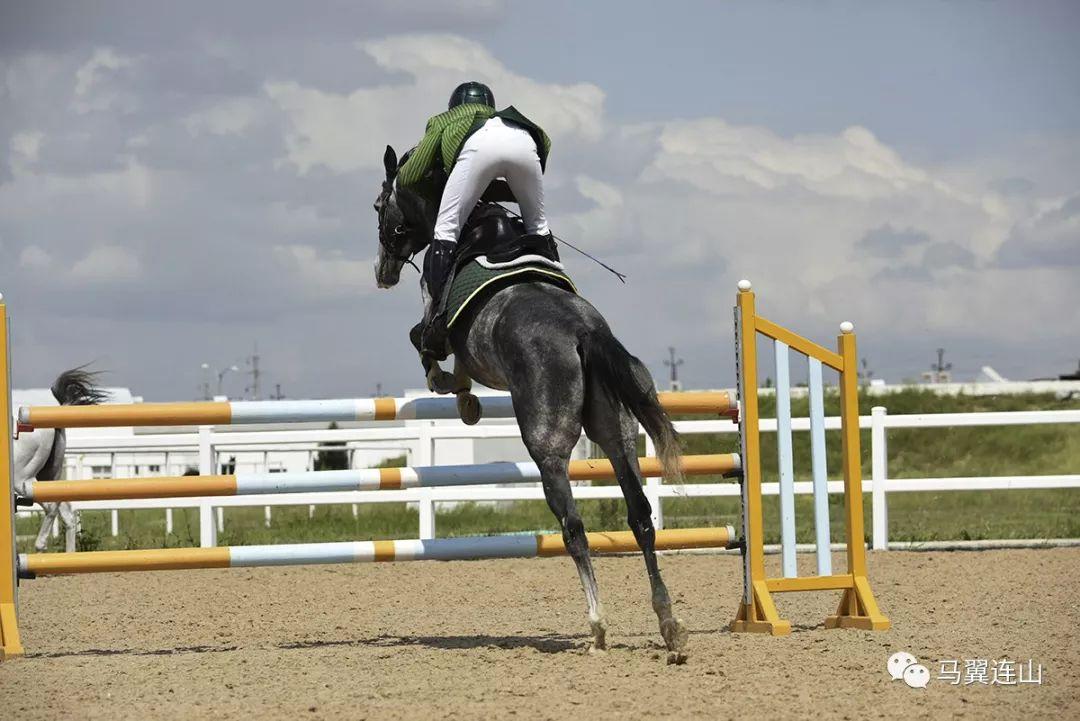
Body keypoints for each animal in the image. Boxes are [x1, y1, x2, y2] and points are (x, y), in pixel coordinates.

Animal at [371, 144, 691, 660]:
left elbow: (426, 345)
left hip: (548, 447)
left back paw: (597, 625)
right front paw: (465, 398)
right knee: (641, 517)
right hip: (618, 435)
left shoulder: (434, 323)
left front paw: (453, 389)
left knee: (574, 526)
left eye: (380, 207)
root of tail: (584, 332)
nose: (382, 273)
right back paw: (670, 625)